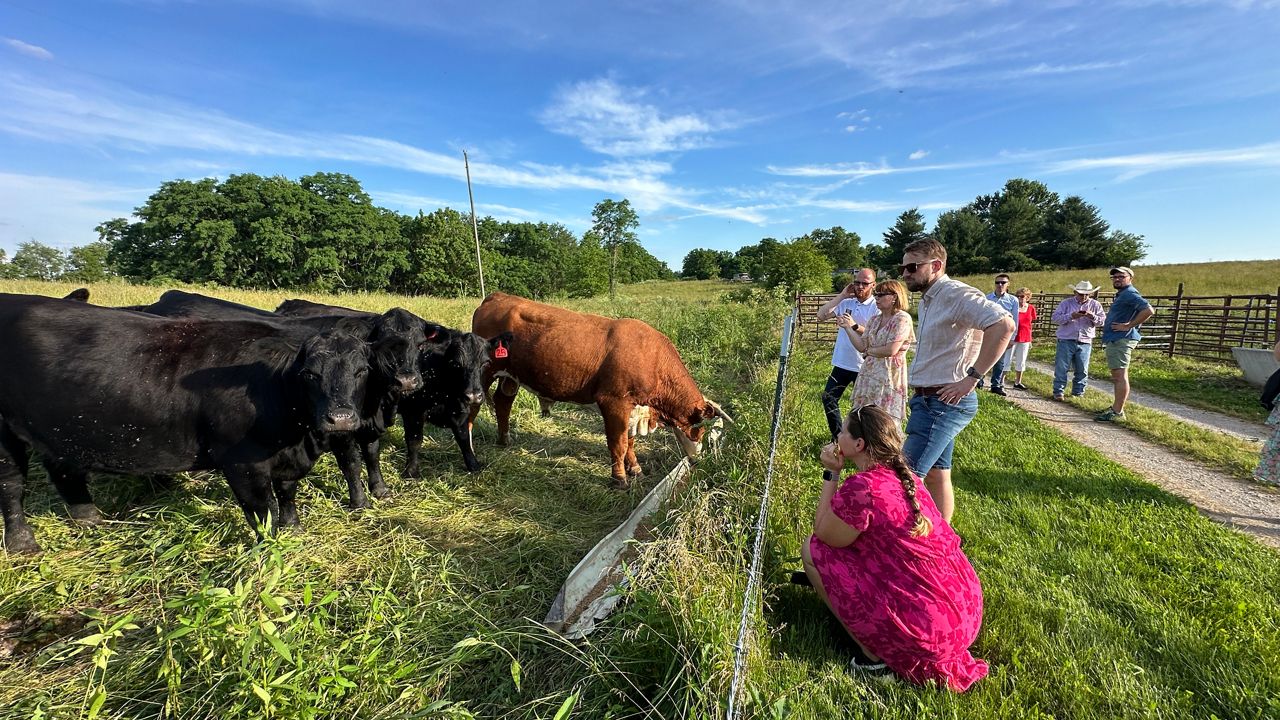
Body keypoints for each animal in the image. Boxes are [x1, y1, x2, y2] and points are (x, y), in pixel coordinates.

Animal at [2, 294, 373, 550]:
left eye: (362, 370)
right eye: (309, 373)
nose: (340, 419)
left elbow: (287, 493)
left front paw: (293, 529)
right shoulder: (243, 464)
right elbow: (262, 510)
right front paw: (271, 550)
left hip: (58, 429)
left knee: (64, 470)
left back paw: (91, 521)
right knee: (11, 486)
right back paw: (22, 544)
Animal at [275, 295, 504, 471]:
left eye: (486, 363)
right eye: (456, 363)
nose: (474, 395)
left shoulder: (459, 408)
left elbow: (463, 437)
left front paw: (473, 464)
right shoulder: (413, 410)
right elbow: (414, 440)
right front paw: (411, 471)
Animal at [468, 288, 732, 484]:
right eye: (702, 432)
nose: (700, 461)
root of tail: (498, 296)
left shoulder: (633, 410)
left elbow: (630, 441)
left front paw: (635, 469)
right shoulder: (613, 402)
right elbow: (618, 443)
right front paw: (620, 479)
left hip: (510, 377)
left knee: (503, 403)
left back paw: (505, 439)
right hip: (482, 375)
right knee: (470, 413)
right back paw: (470, 456)